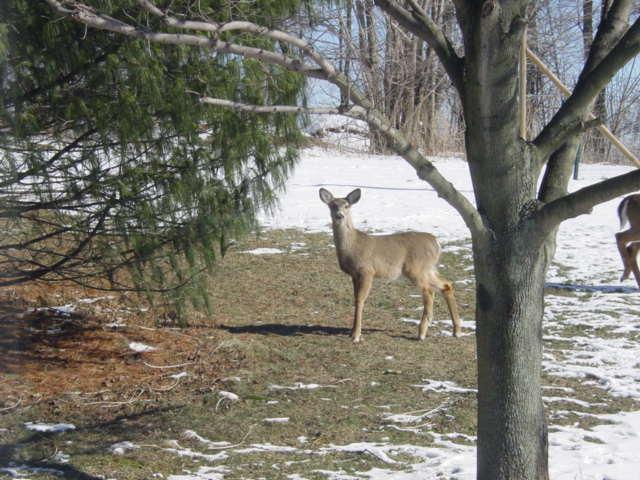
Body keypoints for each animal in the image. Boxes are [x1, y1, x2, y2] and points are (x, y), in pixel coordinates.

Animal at [318, 187, 460, 342]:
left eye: (347, 205)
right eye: (332, 205)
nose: (339, 215)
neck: (353, 245)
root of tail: (437, 243)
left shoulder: (367, 270)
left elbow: (360, 299)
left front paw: (356, 335)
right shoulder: (354, 275)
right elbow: (355, 298)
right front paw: (352, 332)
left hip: (416, 268)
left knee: (428, 291)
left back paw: (421, 333)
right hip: (429, 269)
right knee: (445, 285)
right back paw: (456, 330)